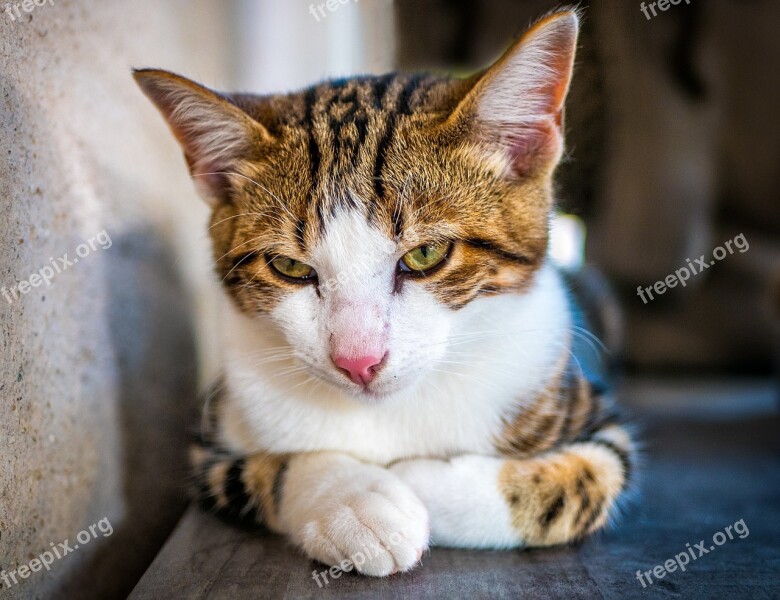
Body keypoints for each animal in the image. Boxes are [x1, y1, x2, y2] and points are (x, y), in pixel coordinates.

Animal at [133, 8, 632, 576]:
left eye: (426, 254)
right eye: (289, 266)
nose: (358, 361)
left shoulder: (598, 421)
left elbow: (581, 483)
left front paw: (418, 480)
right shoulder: (208, 442)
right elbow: (266, 469)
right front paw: (356, 504)